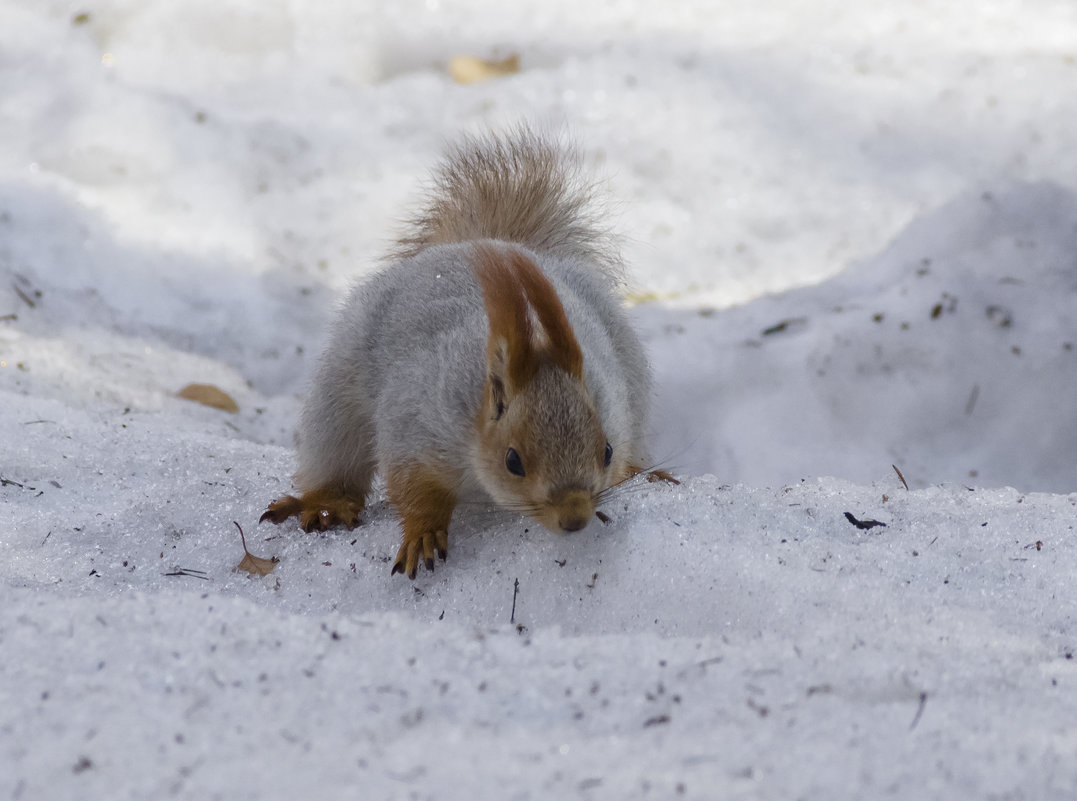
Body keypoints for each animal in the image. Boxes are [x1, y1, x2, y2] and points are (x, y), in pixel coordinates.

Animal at [259, 126, 672, 577]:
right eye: (513, 461)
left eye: (606, 450)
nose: (575, 517)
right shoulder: (418, 427)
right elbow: (415, 489)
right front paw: (423, 533)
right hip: (338, 395)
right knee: (337, 462)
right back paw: (326, 504)